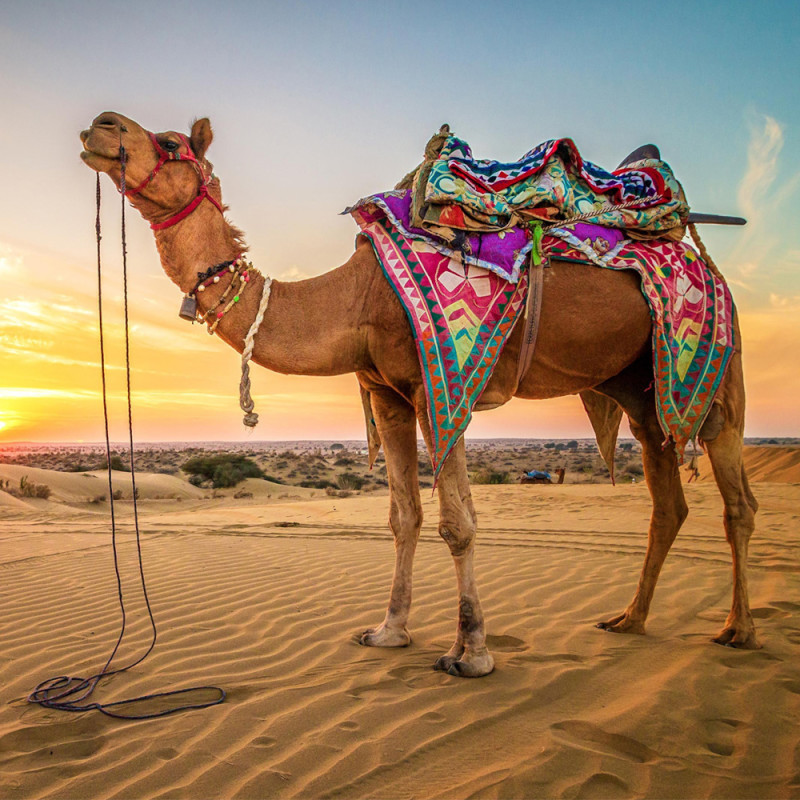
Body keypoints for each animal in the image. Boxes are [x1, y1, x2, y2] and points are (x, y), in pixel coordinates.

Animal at [79, 112, 760, 677]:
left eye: (170, 143)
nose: (101, 126)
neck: (353, 298)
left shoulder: (442, 384)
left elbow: (458, 522)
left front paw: (471, 652)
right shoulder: (387, 394)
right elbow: (403, 515)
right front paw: (388, 631)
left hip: (719, 366)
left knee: (736, 498)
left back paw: (737, 629)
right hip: (639, 387)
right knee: (667, 498)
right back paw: (630, 619)